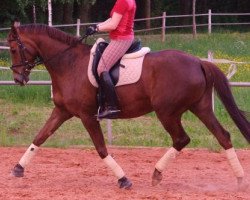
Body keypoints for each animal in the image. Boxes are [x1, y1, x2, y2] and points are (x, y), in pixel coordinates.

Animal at [6, 23, 249, 189]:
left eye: (13, 49)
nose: (18, 79)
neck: (69, 63)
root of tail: (199, 61)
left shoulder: (87, 116)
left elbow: (101, 149)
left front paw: (123, 180)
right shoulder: (62, 111)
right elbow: (40, 137)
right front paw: (17, 168)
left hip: (167, 112)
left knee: (181, 139)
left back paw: (156, 173)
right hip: (201, 108)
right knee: (223, 136)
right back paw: (239, 180)